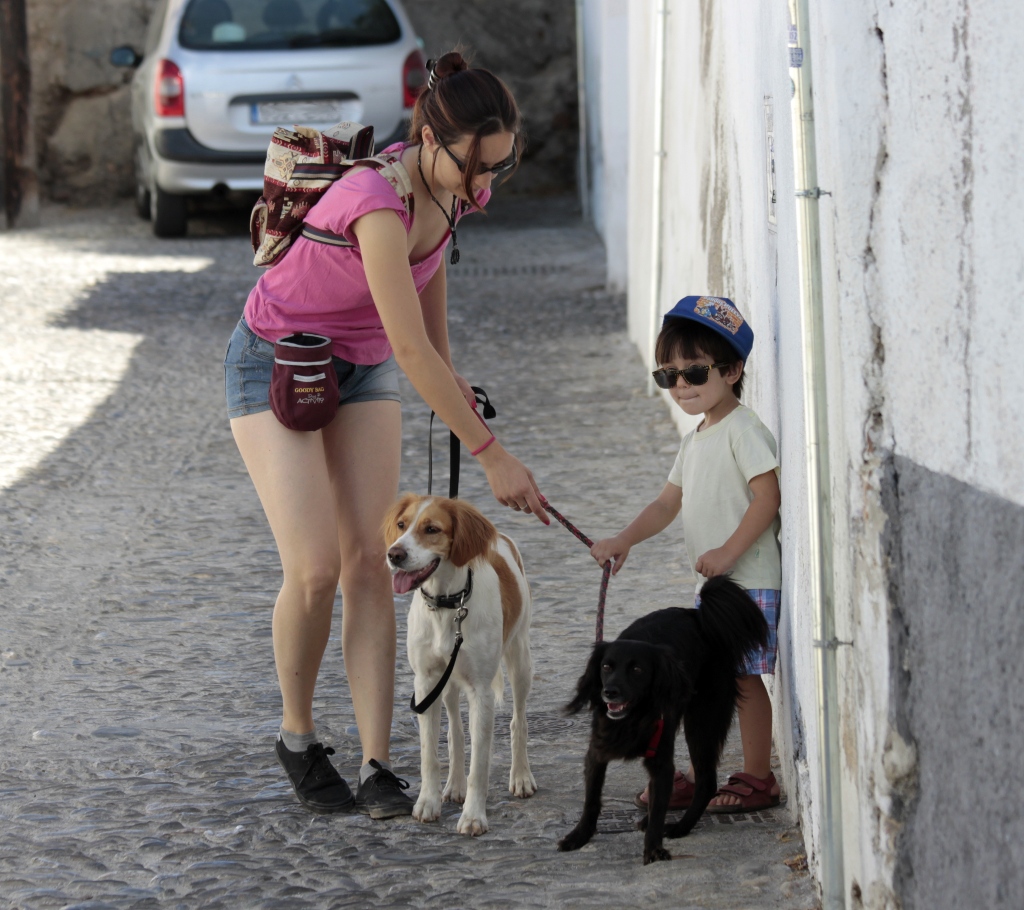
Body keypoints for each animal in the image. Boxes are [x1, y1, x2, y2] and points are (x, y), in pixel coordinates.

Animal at [385, 493, 540, 835]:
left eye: (431, 529)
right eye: (402, 525)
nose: (394, 554)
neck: (447, 606)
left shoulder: (481, 691)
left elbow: (480, 762)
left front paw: (473, 816)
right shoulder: (426, 682)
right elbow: (430, 754)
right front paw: (427, 803)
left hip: (520, 660)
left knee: (518, 722)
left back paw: (521, 776)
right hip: (448, 683)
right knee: (455, 732)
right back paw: (454, 784)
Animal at [561, 577, 770, 863]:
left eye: (637, 669)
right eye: (606, 667)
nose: (610, 692)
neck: (633, 718)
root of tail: (698, 616)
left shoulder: (661, 762)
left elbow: (660, 809)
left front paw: (653, 848)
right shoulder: (597, 752)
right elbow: (591, 799)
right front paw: (579, 836)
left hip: (702, 722)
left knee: (706, 782)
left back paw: (681, 827)